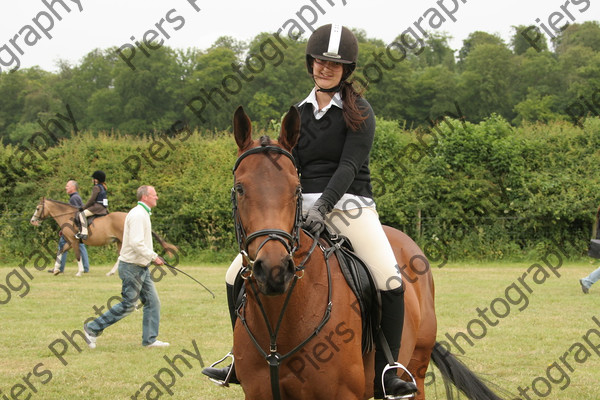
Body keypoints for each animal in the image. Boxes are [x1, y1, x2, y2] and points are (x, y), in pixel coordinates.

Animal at [30, 198, 176, 276]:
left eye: (37, 208)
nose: (32, 221)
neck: (68, 216)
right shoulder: (70, 242)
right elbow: (60, 251)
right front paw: (55, 270)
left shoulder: (74, 241)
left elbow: (78, 256)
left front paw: (79, 272)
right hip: (120, 242)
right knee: (121, 256)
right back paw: (112, 272)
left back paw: (112, 272)